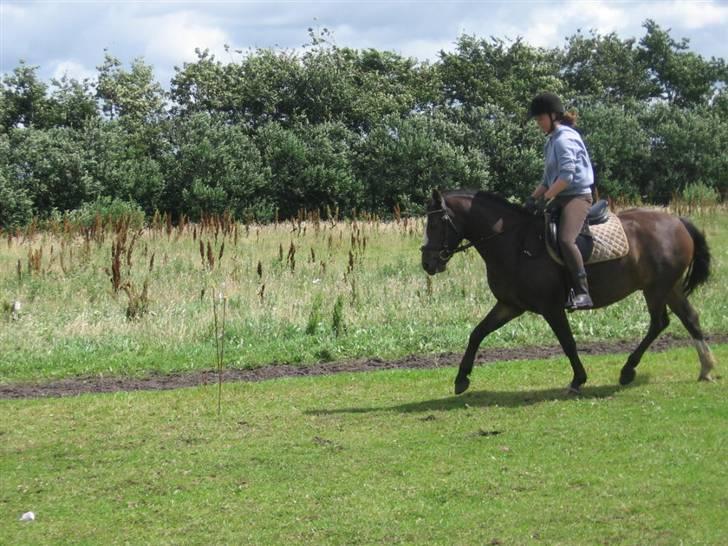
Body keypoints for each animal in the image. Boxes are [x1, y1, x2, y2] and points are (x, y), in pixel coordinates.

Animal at [420, 189, 716, 394]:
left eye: (434, 225)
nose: (427, 263)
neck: (514, 243)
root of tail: (677, 221)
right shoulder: (510, 305)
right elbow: (477, 333)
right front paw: (461, 379)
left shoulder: (550, 307)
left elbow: (568, 342)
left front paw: (578, 379)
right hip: (669, 287)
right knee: (689, 318)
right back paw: (706, 368)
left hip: (656, 289)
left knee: (659, 322)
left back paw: (628, 370)